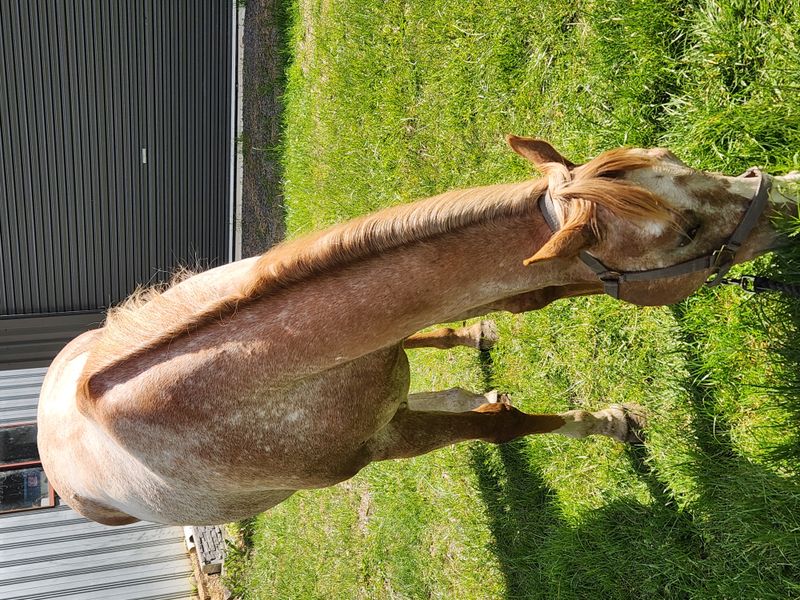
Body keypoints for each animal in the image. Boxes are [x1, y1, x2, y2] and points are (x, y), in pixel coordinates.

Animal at [37, 136, 799, 525]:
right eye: (685, 233)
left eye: (674, 158)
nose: (791, 192)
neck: (251, 371)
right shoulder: (384, 443)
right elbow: (506, 426)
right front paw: (610, 423)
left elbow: (513, 307)